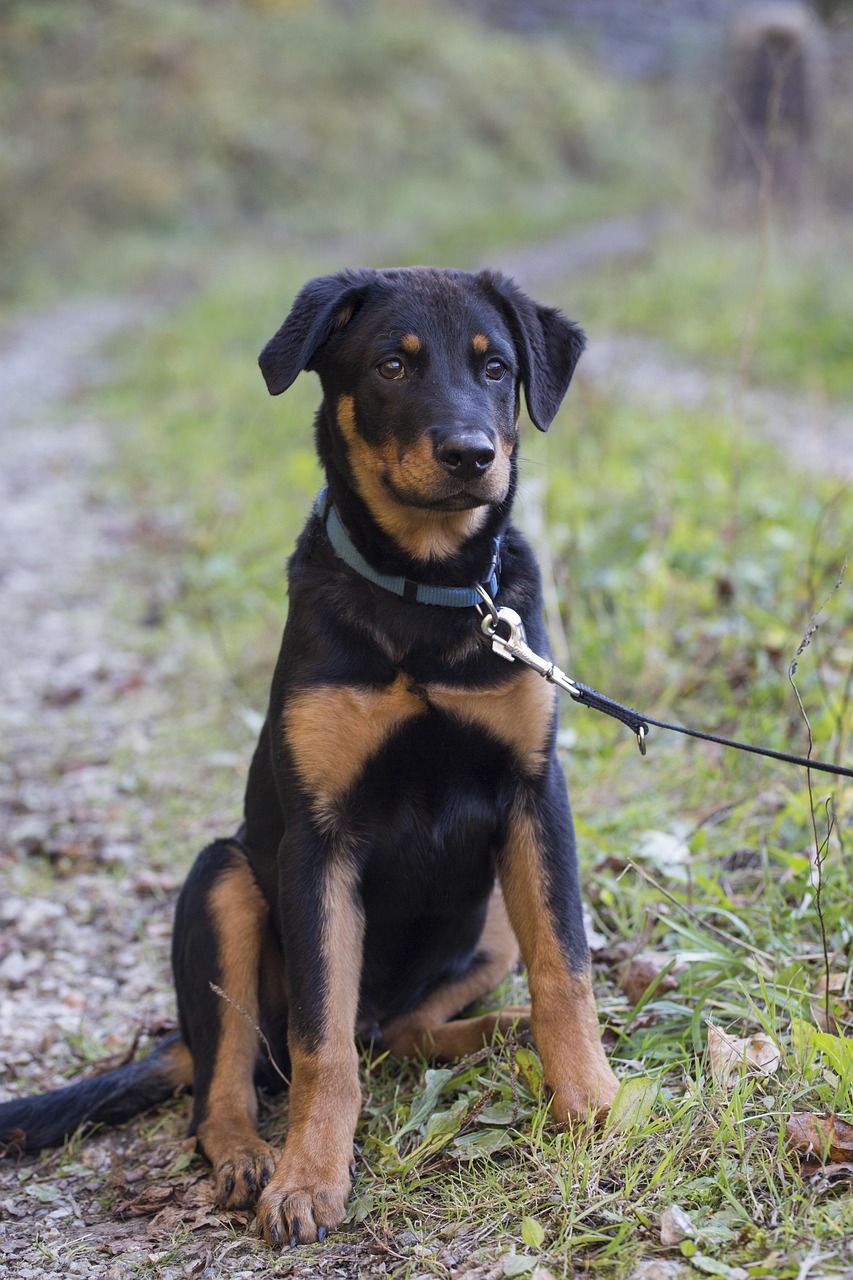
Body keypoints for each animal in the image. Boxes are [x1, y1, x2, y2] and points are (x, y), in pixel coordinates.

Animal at [0, 264, 614, 1244]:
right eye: (393, 365)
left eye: (496, 369)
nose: (471, 455)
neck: (423, 591)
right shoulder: (318, 838)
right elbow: (320, 1042)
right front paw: (309, 1181)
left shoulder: (533, 794)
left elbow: (565, 967)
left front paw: (591, 1101)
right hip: (223, 881)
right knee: (236, 1077)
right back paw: (252, 1158)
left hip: (483, 920)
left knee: (393, 1033)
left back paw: (496, 1031)